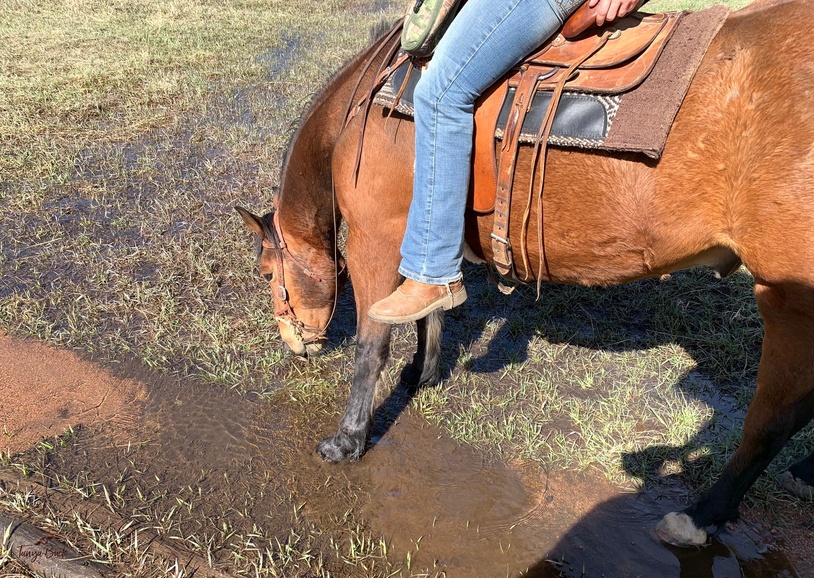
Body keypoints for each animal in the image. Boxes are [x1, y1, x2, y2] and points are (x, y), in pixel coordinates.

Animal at [239, 0, 814, 548]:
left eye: (267, 274)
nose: (295, 345)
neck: (363, 112)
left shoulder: (374, 238)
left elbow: (371, 346)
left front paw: (349, 439)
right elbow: (430, 309)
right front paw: (421, 373)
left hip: (788, 300)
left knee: (774, 419)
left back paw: (699, 517)